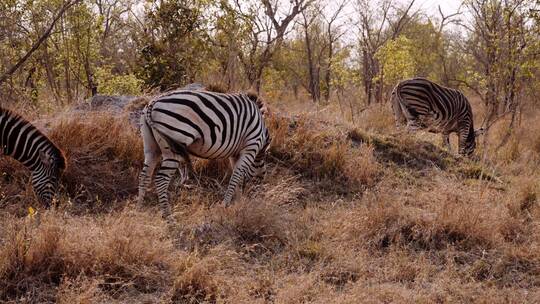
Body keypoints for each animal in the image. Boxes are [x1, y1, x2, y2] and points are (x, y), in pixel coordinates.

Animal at [138, 88, 270, 216]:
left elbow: (238, 178)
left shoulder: (235, 153)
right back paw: (168, 216)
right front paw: (226, 205)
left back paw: (139, 208)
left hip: (151, 146)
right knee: (161, 179)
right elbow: (236, 177)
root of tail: (153, 102)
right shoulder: (250, 147)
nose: (262, 178)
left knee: (144, 175)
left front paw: (239, 203)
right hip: (174, 143)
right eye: (264, 154)